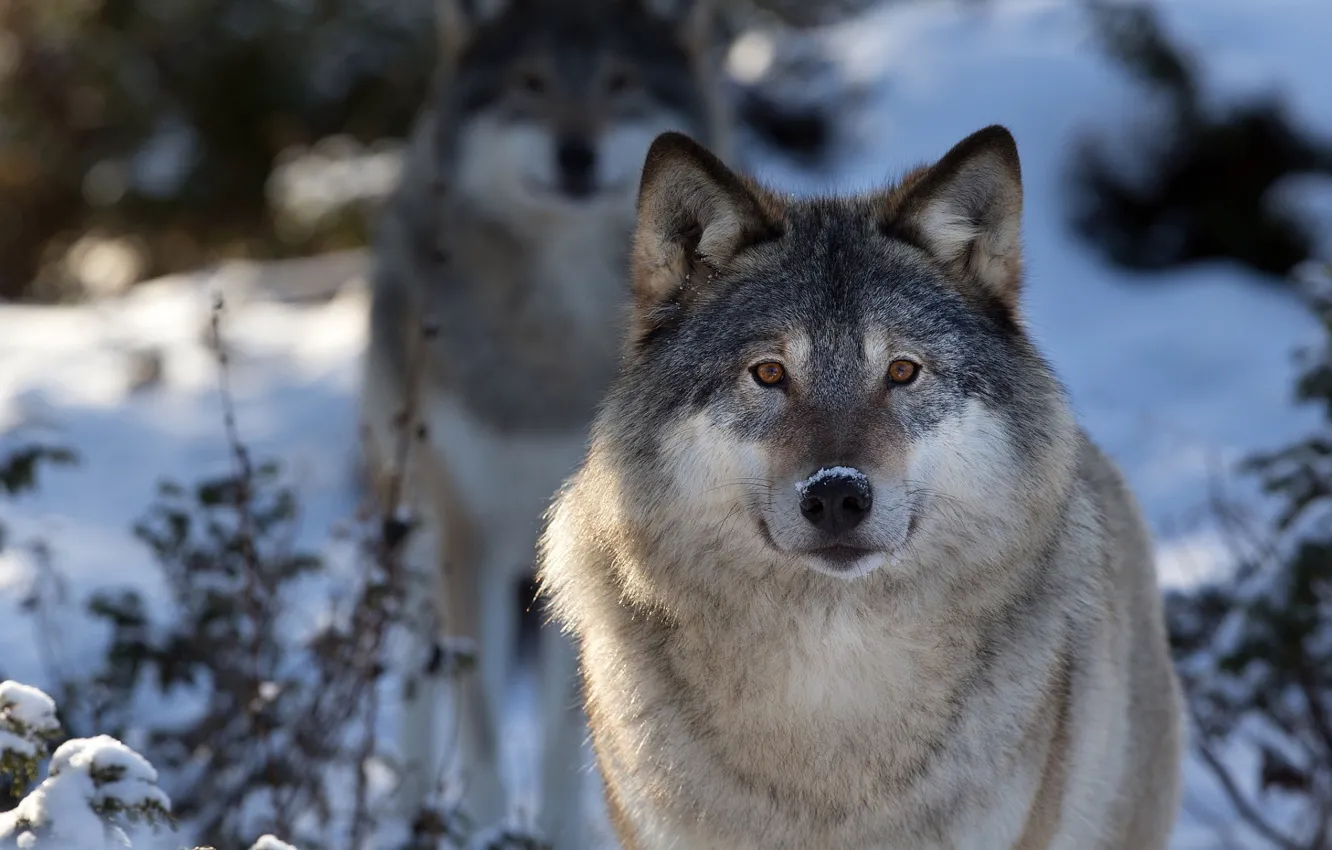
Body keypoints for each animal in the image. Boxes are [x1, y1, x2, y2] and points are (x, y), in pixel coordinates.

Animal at [357, 0, 731, 845]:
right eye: (529, 84)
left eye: (621, 83)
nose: (576, 152)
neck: (552, 342)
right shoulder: (468, 533)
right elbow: (482, 716)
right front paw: (491, 824)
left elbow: (569, 724)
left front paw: (561, 828)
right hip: (415, 528)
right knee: (419, 677)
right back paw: (407, 806)